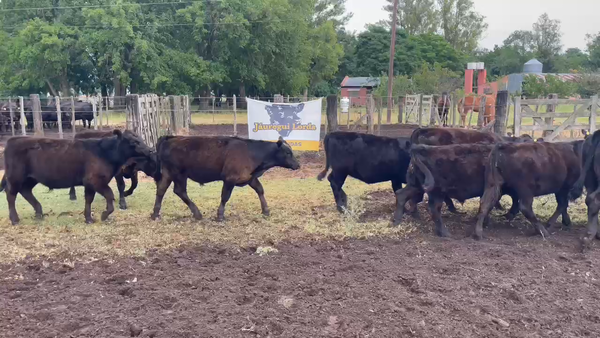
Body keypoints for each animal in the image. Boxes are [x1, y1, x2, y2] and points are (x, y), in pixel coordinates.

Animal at [1, 129, 155, 224]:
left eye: (141, 139)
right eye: (134, 142)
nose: (150, 150)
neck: (104, 152)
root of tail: (12, 140)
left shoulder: (90, 184)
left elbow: (89, 199)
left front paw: (88, 218)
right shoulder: (95, 180)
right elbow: (110, 194)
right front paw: (104, 215)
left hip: (30, 178)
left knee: (25, 191)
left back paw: (39, 213)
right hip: (15, 177)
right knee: (11, 194)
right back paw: (15, 219)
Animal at [150, 135, 300, 222]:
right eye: (288, 152)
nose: (298, 165)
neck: (252, 152)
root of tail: (171, 138)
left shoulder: (250, 178)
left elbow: (260, 190)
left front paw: (266, 210)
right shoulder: (229, 178)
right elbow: (225, 197)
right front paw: (220, 215)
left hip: (169, 173)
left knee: (161, 190)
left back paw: (155, 214)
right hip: (179, 174)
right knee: (179, 191)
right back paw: (197, 213)